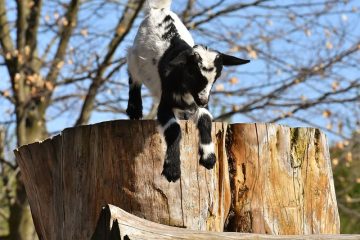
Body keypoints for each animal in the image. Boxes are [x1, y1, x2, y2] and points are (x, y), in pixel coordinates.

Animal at [125, 0, 249, 181]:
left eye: (217, 76)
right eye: (191, 72)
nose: (203, 100)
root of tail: (160, 9)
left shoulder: (198, 104)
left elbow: (205, 120)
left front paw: (208, 157)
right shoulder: (165, 103)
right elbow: (174, 129)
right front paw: (172, 169)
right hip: (135, 57)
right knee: (133, 77)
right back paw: (134, 109)